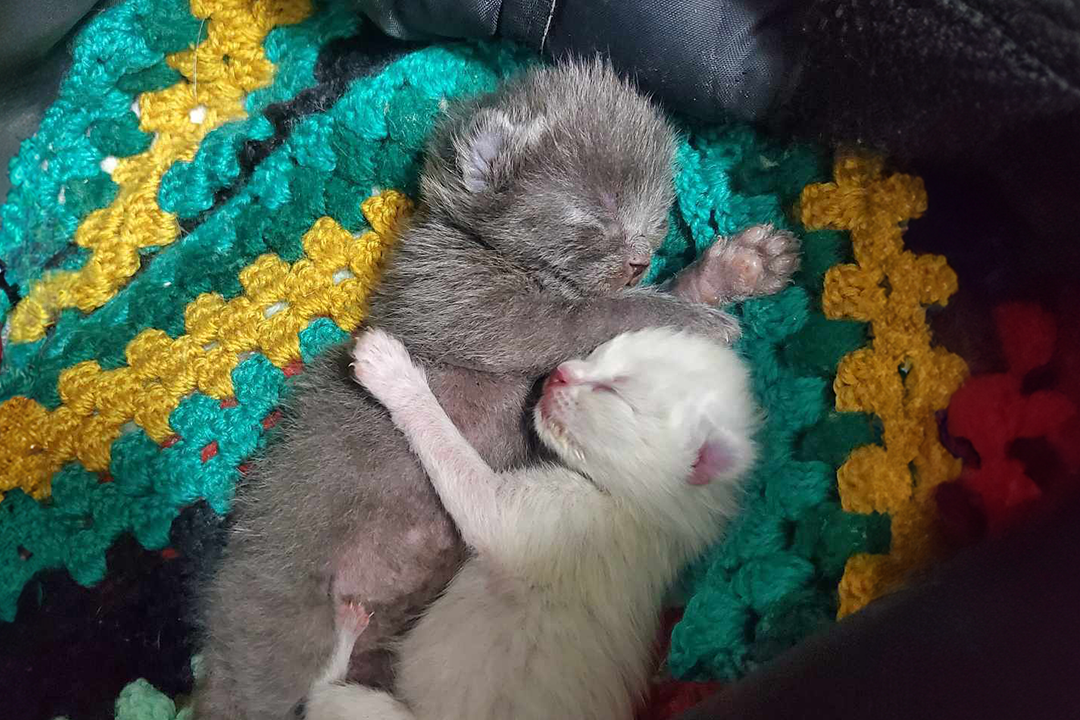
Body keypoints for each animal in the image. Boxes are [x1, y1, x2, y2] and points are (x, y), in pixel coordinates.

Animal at [306, 328, 760, 720]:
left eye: (613, 391)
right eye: (599, 354)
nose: (559, 373)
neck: (648, 511)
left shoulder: (523, 517)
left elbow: (449, 446)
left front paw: (395, 375)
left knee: (318, 700)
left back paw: (341, 639)